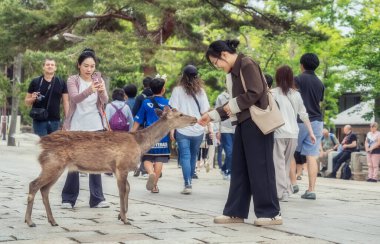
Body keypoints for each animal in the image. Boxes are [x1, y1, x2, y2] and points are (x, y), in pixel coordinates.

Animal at [24, 107, 197, 227]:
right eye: (180, 114)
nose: (195, 118)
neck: (140, 144)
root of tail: (40, 142)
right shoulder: (121, 166)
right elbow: (123, 191)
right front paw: (125, 219)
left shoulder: (118, 169)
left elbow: (127, 189)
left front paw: (122, 215)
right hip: (53, 164)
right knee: (34, 184)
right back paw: (30, 221)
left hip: (56, 167)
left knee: (44, 189)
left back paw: (52, 221)